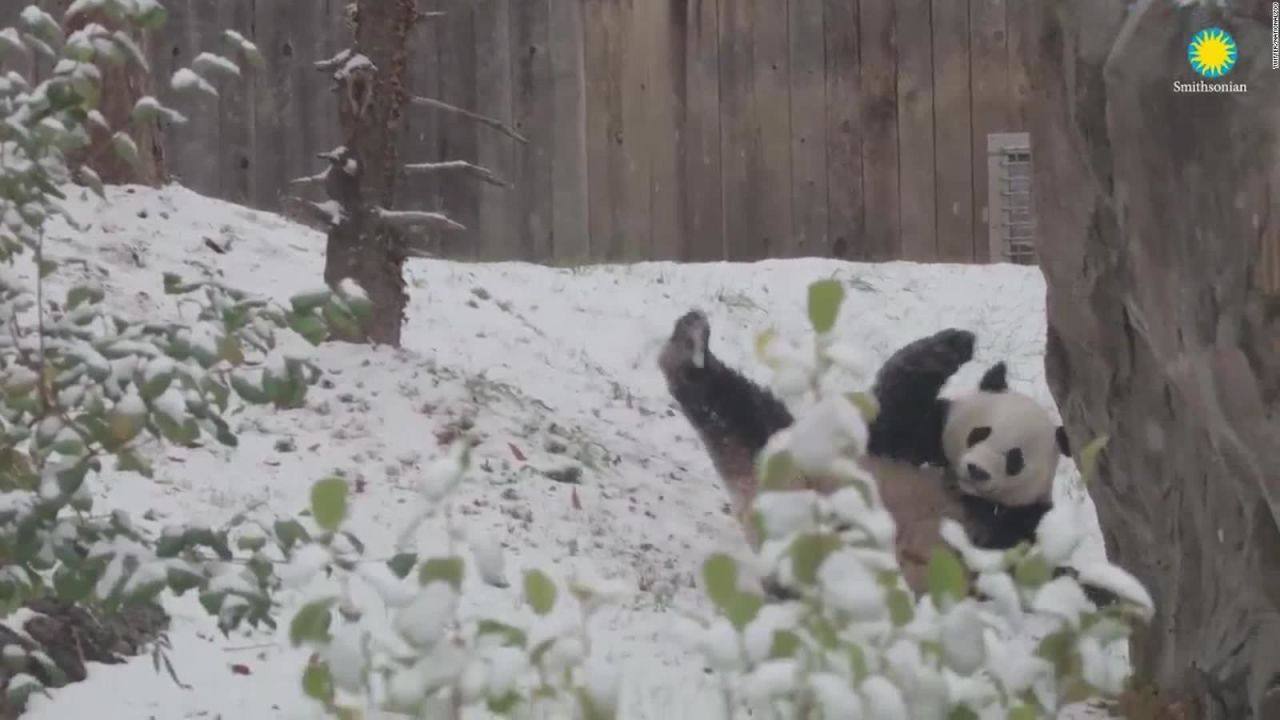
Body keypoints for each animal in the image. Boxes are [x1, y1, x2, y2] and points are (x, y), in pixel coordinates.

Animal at [660, 308, 1070, 594]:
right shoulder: (908, 442)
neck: (956, 485)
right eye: (980, 433)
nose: (978, 470)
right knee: (733, 406)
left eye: (1015, 458)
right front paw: (953, 345)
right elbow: (892, 406)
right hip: (788, 452)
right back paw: (689, 347)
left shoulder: (1016, 521)